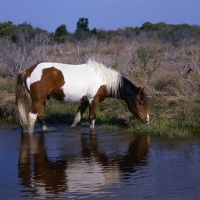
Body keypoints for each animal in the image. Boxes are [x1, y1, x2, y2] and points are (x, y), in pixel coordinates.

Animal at [15, 60, 149, 134]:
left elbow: (77, 119)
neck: (103, 80)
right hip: (37, 100)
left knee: (41, 116)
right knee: (32, 117)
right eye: (141, 102)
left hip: (42, 100)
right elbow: (92, 118)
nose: (147, 120)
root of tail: (27, 71)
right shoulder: (93, 100)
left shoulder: (84, 102)